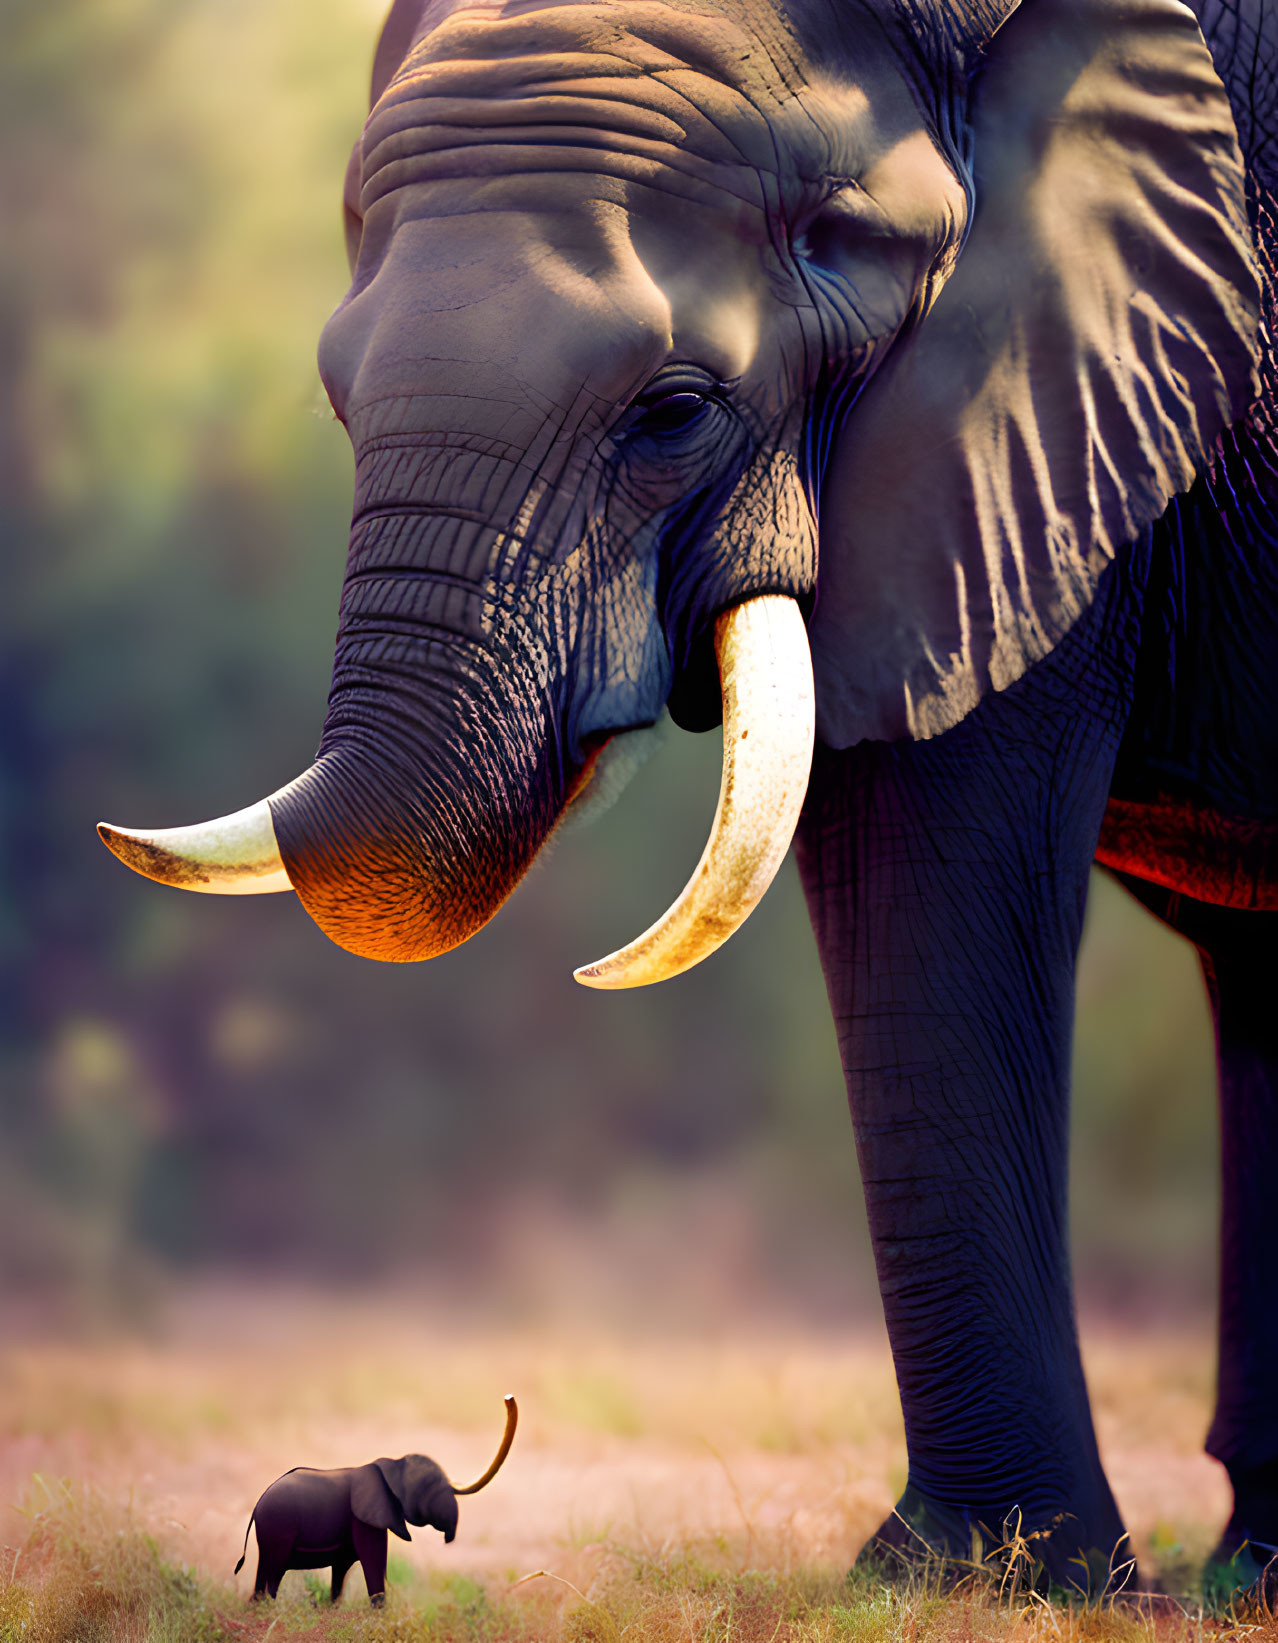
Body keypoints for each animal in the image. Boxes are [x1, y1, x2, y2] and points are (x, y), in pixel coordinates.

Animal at [236, 1393, 515, 1596]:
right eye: (429, 1484)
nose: (508, 1399)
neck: (392, 1466)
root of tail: (257, 1504)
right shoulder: (365, 1517)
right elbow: (373, 1559)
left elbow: (343, 1569)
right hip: (278, 1526)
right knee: (273, 1571)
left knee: (265, 1572)